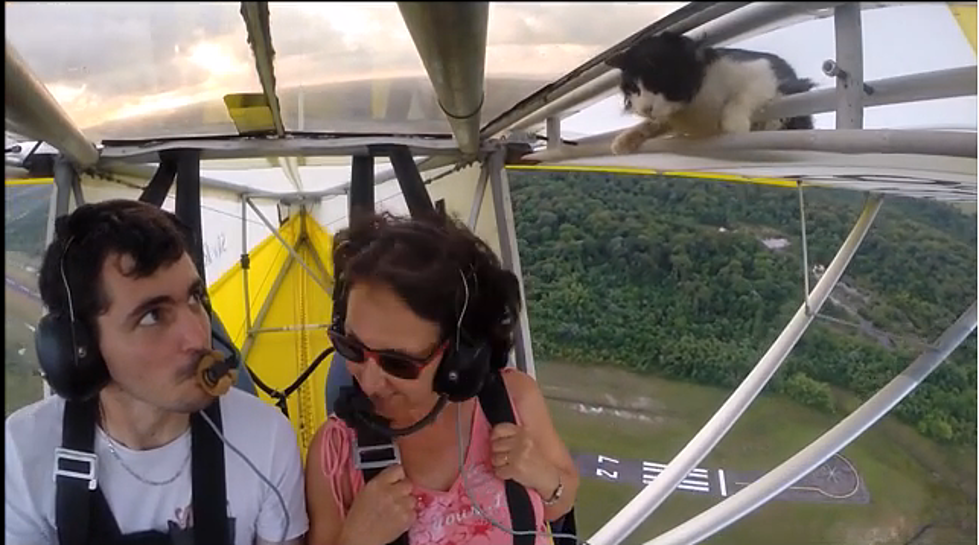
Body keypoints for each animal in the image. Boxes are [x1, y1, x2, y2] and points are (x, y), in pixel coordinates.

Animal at [608, 31, 816, 155]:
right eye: (634, 90)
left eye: (657, 84)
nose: (645, 109)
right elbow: (651, 124)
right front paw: (624, 139)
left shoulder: (764, 71)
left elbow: (740, 97)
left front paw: (734, 124)